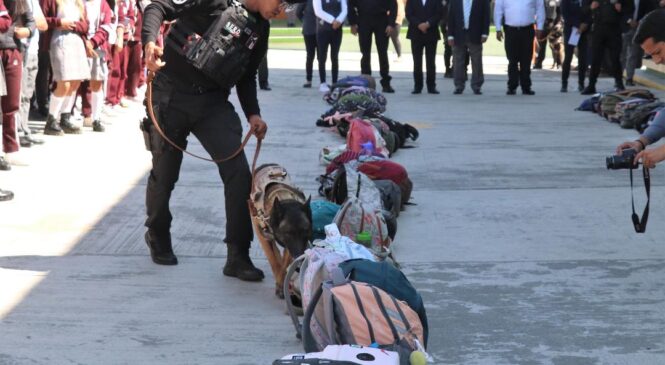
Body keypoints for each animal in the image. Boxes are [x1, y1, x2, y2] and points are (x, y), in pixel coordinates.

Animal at [250, 164, 312, 298]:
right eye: (289, 233)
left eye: (305, 231)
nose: (299, 257)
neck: (284, 199)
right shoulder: (264, 236)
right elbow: (273, 261)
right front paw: (279, 283)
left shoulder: (291, 247)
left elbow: (284, 264)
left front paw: (281, 283)